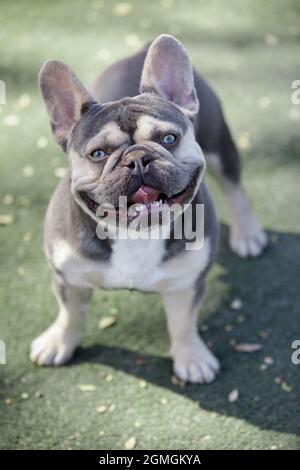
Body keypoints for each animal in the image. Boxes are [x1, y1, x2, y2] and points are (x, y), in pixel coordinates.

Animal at [29, 35, 266, 382]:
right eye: (98, 154)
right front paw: (59, 341)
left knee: (235, 189)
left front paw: (191, 357)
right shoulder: (68, 279)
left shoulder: (186, 284)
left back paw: (247, 234)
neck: (135, 235)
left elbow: (183, 323)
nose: (138, 159)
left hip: (219, 145)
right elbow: (69, 313)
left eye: (168, 138)